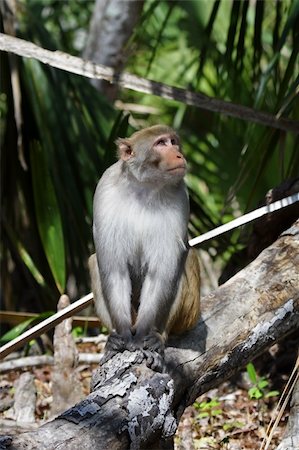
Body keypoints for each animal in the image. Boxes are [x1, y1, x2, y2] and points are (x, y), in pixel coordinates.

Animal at [89, 124, 202, 370]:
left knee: (186, 258)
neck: (144, 187)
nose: (178, 154)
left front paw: (143, 338)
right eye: (161, 143)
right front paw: (122, 336)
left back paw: (158, 336)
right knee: (95, 262)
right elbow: (114, 270)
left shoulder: (180, 195)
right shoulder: (104, 190)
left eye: (173, 142)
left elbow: (161, 274)